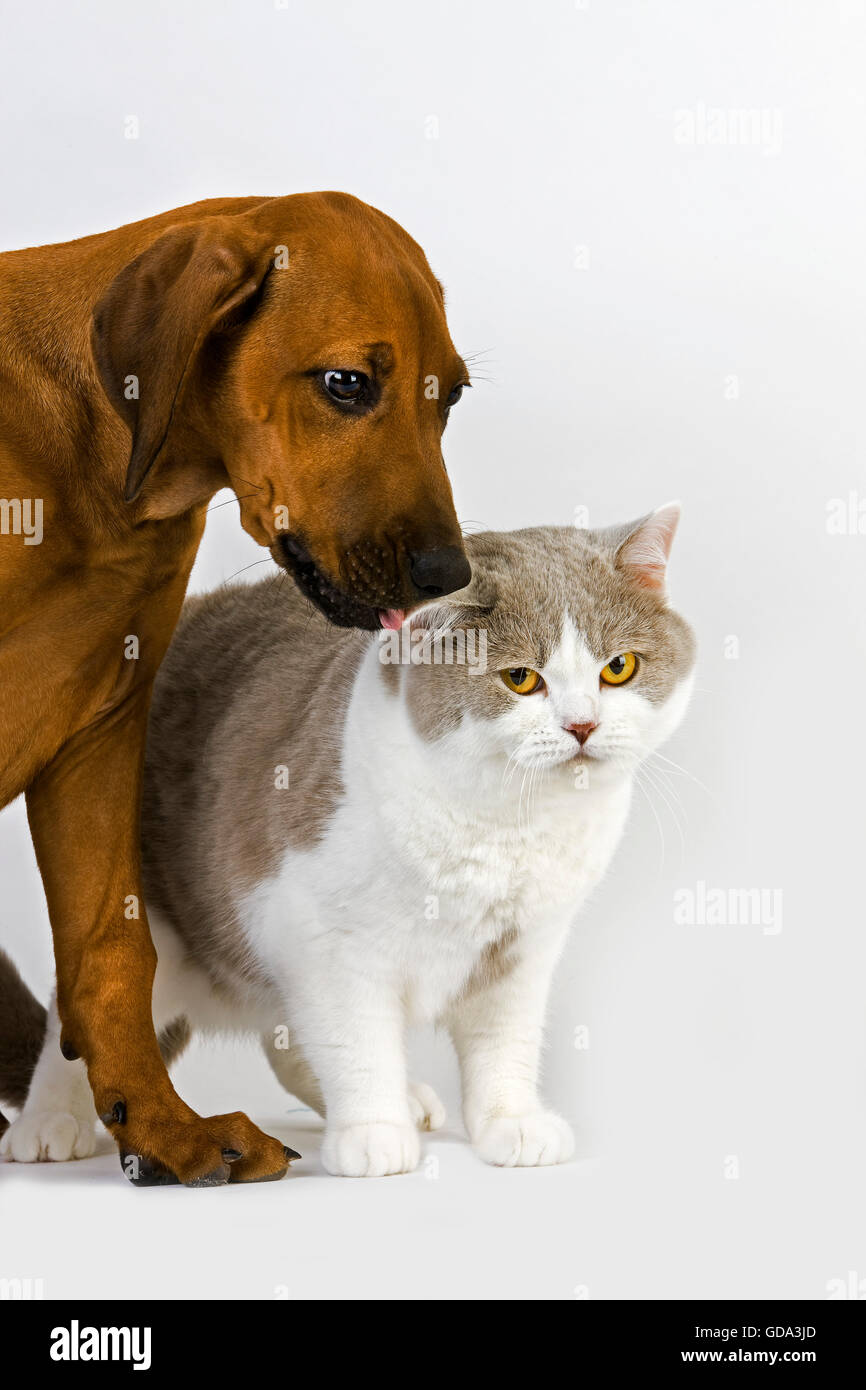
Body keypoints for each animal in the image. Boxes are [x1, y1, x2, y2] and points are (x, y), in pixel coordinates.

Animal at [0, 193, 469, 1184]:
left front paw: (162, 1127)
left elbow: (111, 952)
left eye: (450, 396)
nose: (451, 576)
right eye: (345, 385)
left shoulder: (100, 733)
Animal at [1, 505, 697, 1178]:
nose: (583, 726)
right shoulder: (318, 935)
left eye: (619, 668)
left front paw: (512, 1124)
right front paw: (373, 1136)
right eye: (521, 679)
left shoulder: (522, 948)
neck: (504, 826)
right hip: (154, 933)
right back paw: (47, 1125)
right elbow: (356, 1041)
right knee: (85, 1016)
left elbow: (505, 1043)